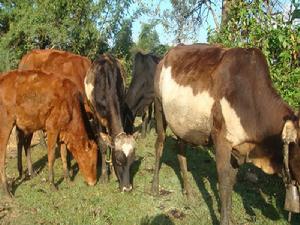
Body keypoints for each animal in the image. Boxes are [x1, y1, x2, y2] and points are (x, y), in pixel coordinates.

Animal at [84, 54, 136, 192]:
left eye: (132, 161)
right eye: (118, 161)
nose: (127, 188)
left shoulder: (121, 109)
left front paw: (112, 174)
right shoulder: (97, 116)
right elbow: (103, 145)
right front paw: (103, 176)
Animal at [151, 44, 300, 225]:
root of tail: (167, 55)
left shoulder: (238, 149)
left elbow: (231, 182)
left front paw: (230, 216)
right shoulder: (221, 140)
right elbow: (223, 183)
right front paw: (224, 219)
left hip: (182, 125)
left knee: (181, 153)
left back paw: (189, 193)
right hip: (159, 106)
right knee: (159, 144)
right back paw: (155, 187)